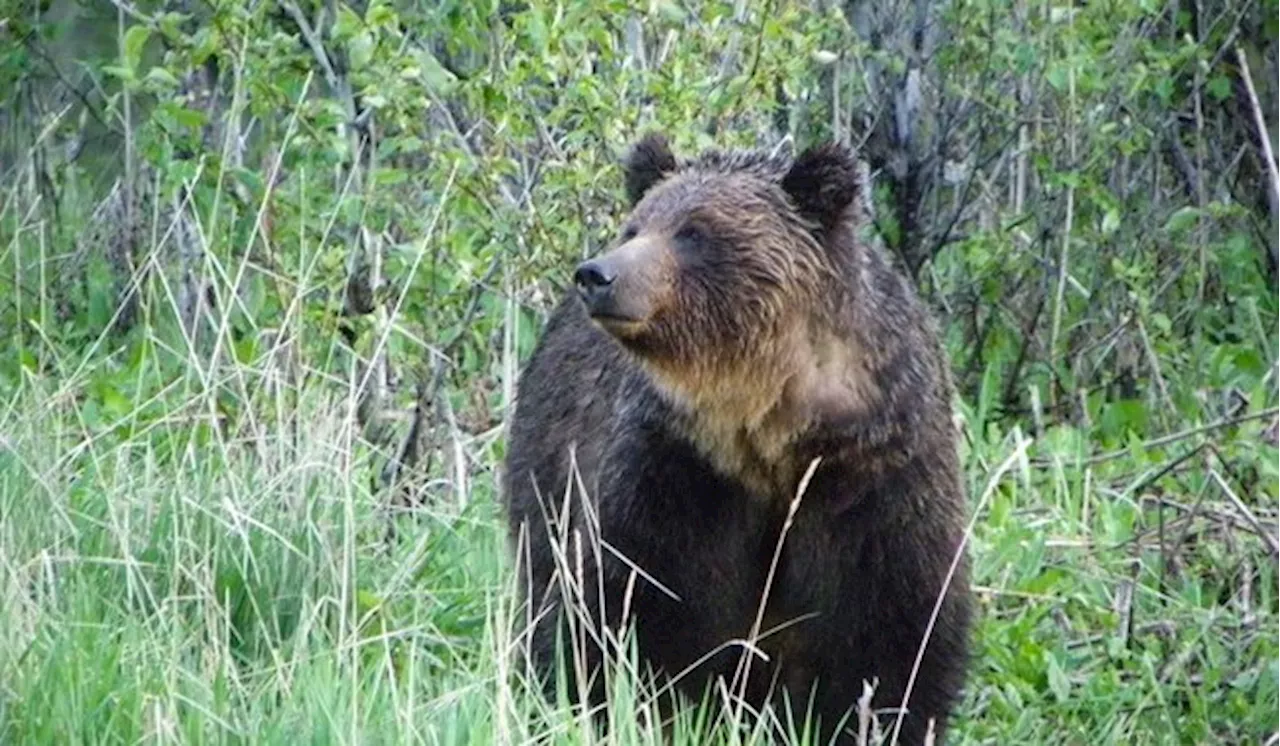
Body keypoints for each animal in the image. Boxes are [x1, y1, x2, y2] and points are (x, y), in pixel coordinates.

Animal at [499, 134, 967, 746]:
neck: (771, 425)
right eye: (635, 226)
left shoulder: (873, 471)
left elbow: (891, 631)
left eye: (694, 231)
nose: (597, 275)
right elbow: (621, 600)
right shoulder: (678, 469)